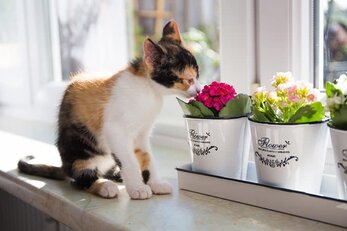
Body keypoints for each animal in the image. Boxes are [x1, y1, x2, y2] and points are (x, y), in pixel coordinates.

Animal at [17, 20, 200, 199]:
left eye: (197, 75)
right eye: (188, 79)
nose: (198, 89)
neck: (149, 90)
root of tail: (64, 165)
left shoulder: (141, 134)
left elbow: (147, 156)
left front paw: (155, 183)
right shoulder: (115, 130)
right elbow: (128, 160)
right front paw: (137, 188)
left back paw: (117, 175)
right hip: (78, 147)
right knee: (79, 178)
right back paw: (104, 186)